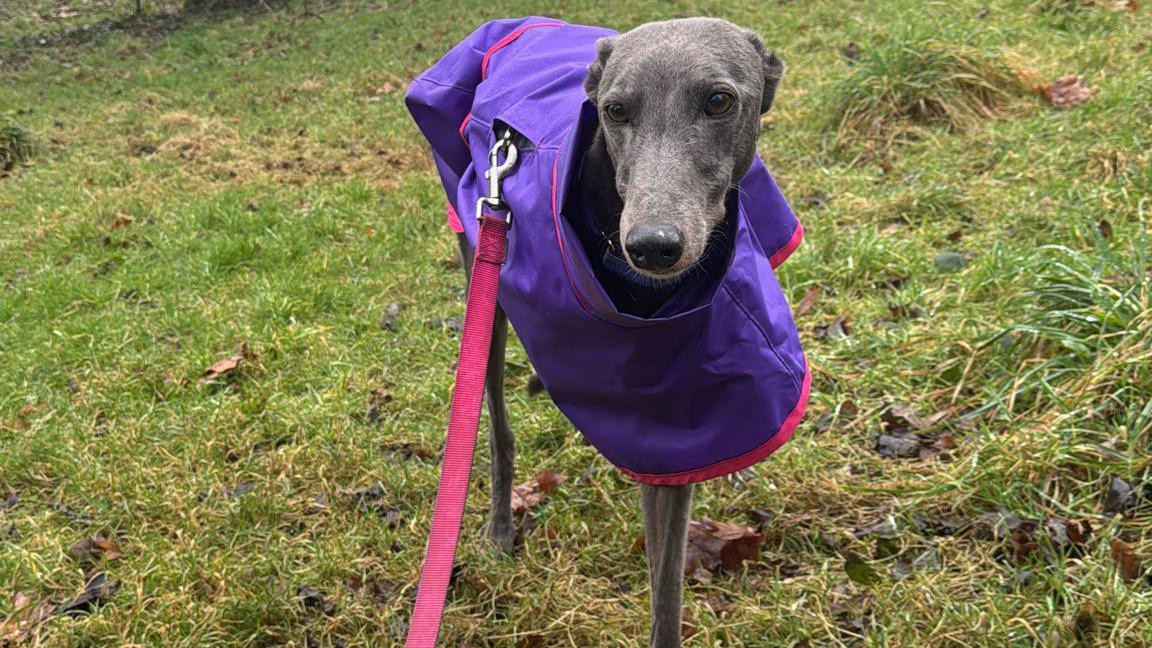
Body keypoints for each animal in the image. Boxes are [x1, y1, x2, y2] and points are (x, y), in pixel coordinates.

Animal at [453, 16, 787, 645]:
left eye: (719, 100)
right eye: (615, 110)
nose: (653, 246)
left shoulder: (676, 424)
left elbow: (666, 590)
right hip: (483, 272)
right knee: (498, 424)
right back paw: (500, 525)